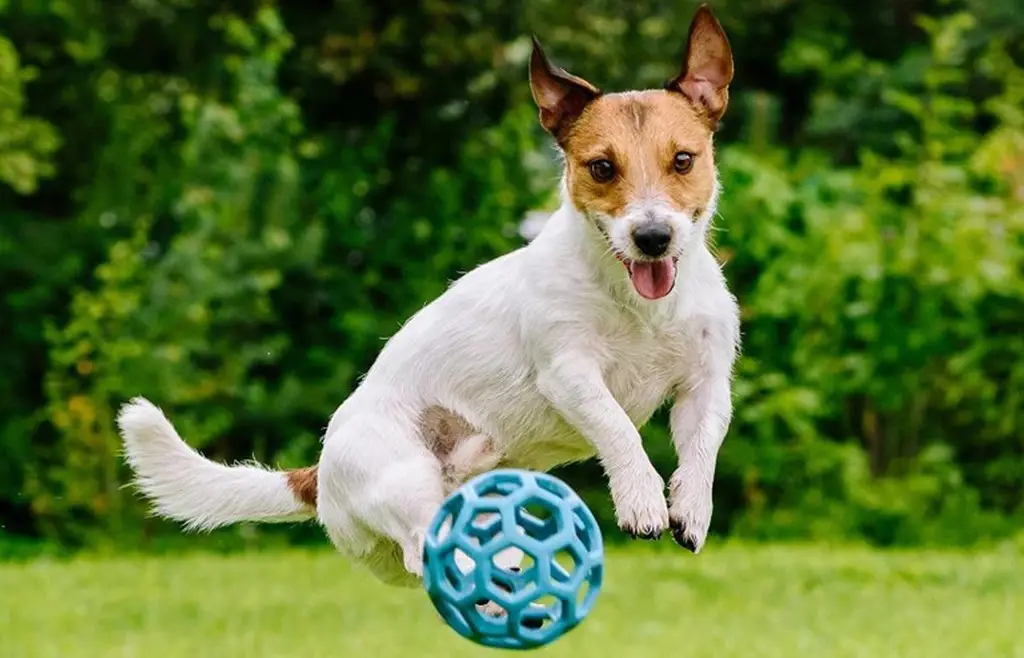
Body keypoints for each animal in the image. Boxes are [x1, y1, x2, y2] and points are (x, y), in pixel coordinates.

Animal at [117, 2, 737, 589]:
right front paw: (641, 500)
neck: (642, 306)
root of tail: (318, 475)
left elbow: (703, 447)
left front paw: (690, 508)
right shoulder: (569, 372)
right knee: (423, 550)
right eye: (603, 168)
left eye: (683, 160)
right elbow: (616, 427)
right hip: (404, 480)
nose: (652, 238)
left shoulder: (705, 382)